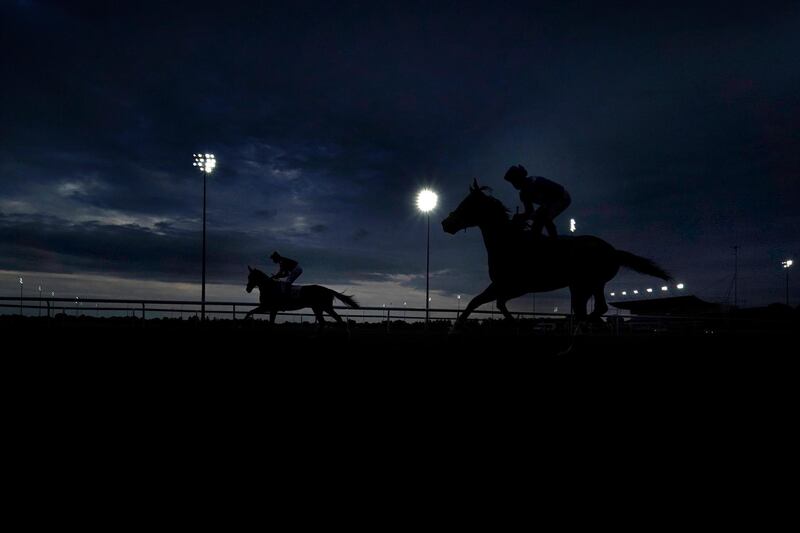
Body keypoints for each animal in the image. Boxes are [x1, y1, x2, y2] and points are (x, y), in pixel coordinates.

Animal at [440, 181, 672, 326]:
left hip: (582, 285)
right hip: (591, 285)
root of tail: (613, 251)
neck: (509, 243)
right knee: (597, 309)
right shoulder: (506, 286)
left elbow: (485, 302)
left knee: (588, 311)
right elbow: (485, 302)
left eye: (467, 204)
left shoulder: (513, 286)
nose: (445, 223)